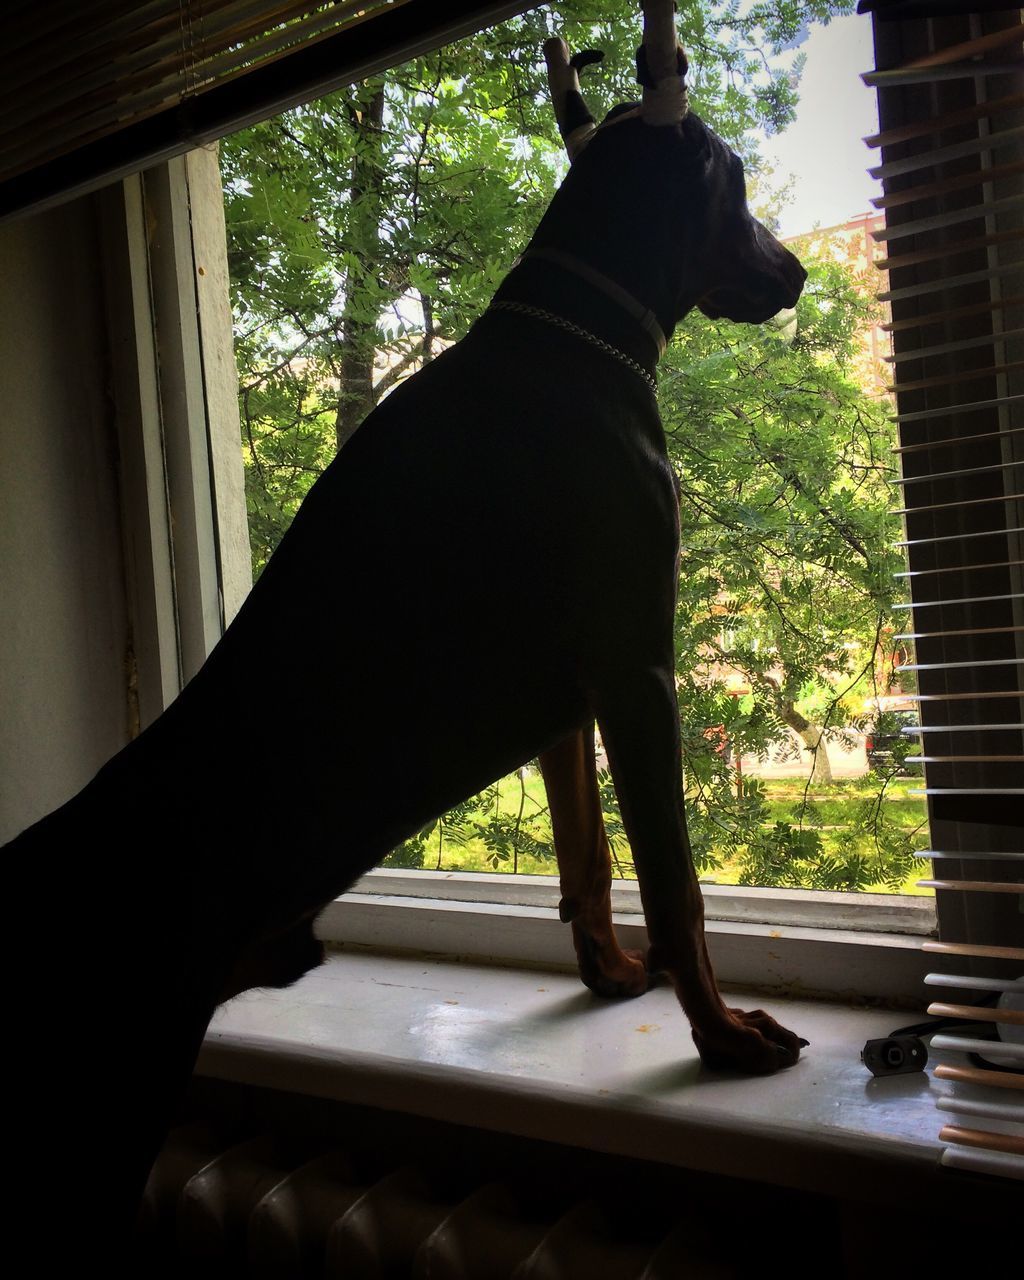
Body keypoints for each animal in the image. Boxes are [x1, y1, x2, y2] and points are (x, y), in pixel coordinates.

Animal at [8, 0, 808, 1239]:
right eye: (735, 185)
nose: (800, 270)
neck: (572, 332)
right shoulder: (638, 668)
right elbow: (675, 883)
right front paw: (718, 1037)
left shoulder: (571, 693)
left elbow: (585, 852)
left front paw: (606, 971)